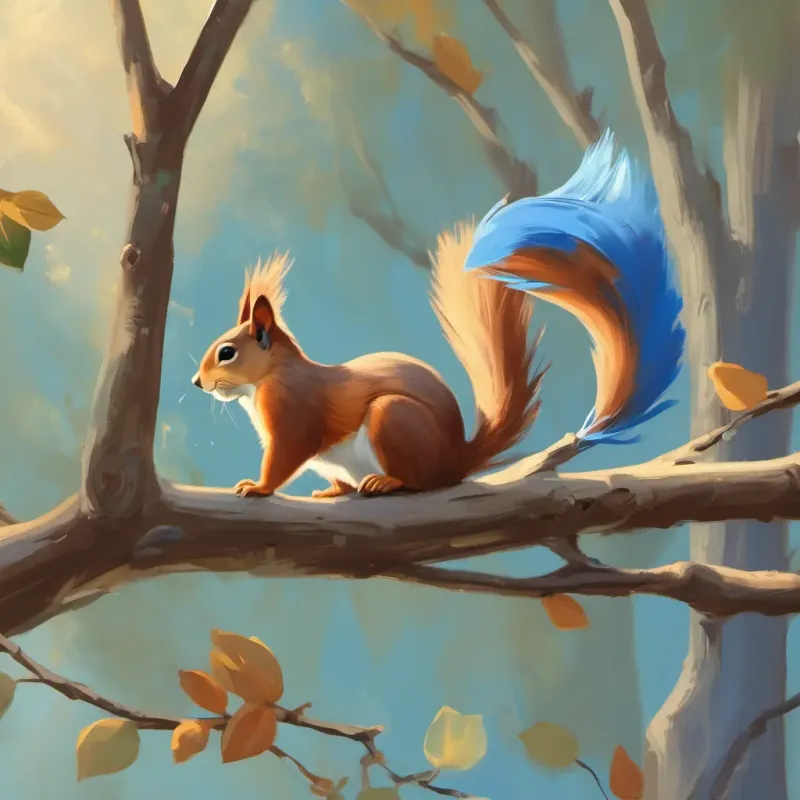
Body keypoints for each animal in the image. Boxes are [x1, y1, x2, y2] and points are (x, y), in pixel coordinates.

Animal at [191, 131, 684, 498]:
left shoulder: (293, 416)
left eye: (227, 352)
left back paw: (388, 482)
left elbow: (284, 459)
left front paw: (258, 487)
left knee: (422, 481)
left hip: (393, 420)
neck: (270, 377)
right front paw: (330, 490)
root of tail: (456, 460)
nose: (197, 382)